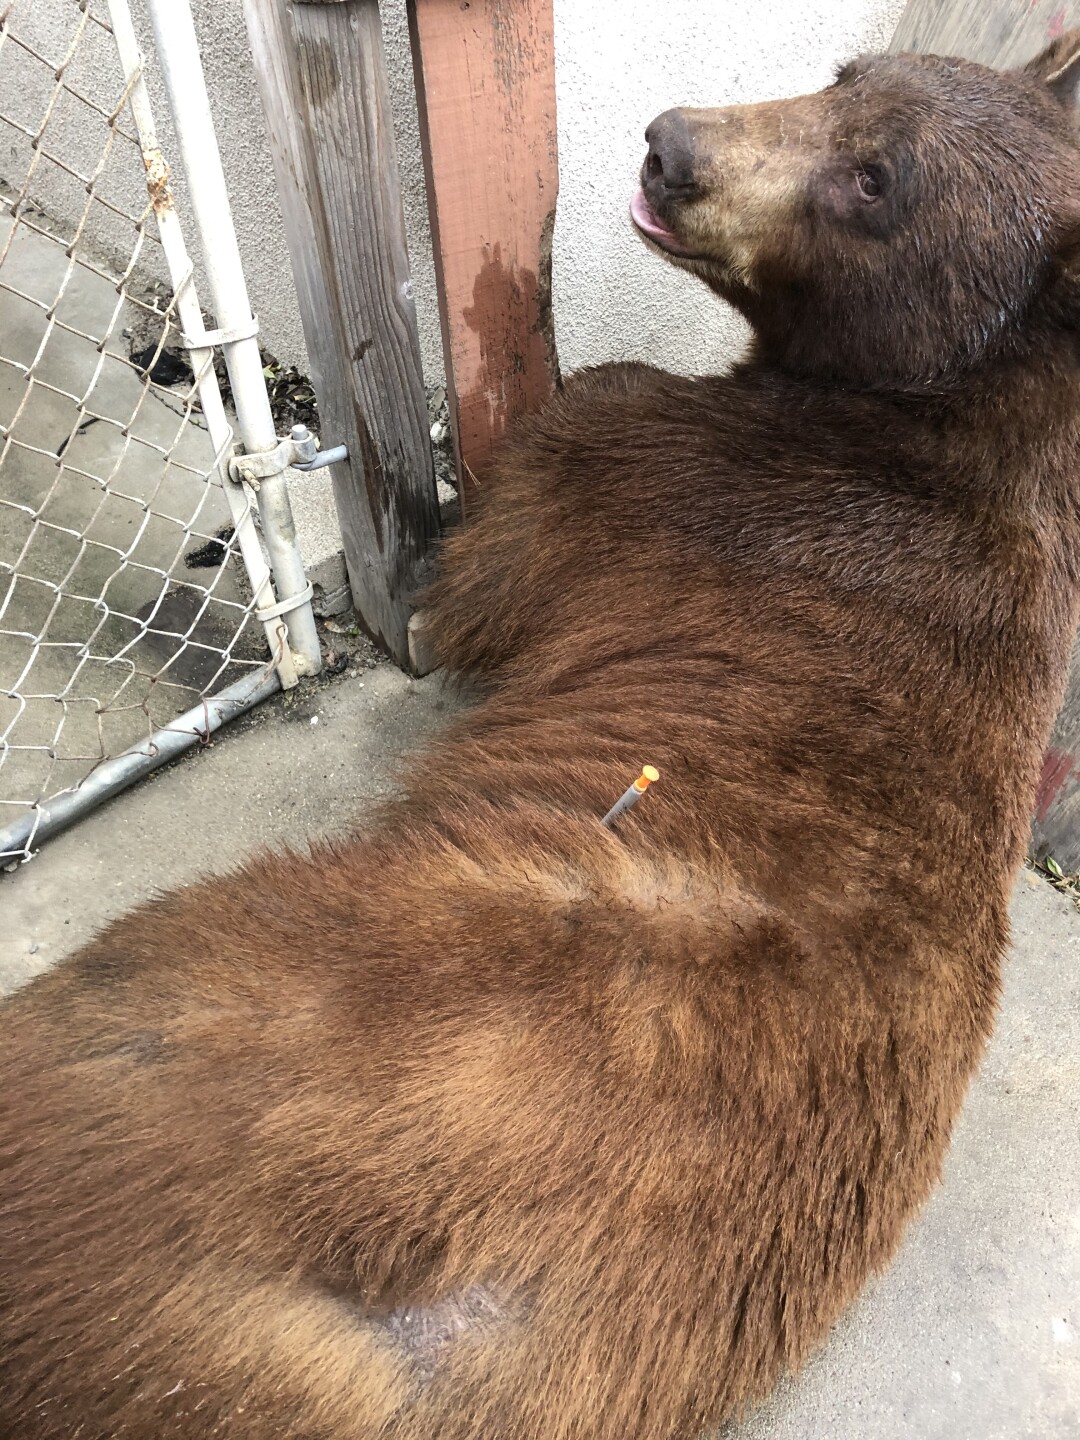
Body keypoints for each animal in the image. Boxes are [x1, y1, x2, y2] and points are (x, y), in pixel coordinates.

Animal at [3, 31, 1080, 1440]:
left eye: (874, 180)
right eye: (848, 72)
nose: (672, 145)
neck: (946, 415)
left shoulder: (690, 481)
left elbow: (519, 530)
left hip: (211, 1028)